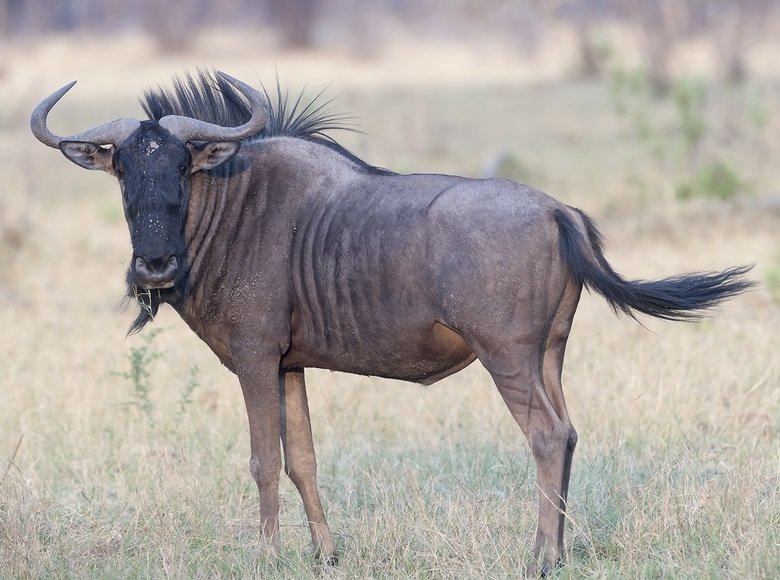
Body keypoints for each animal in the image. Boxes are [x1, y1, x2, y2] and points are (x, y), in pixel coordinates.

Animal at [31, 71, 753, 575]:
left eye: (182, 164)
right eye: (122, 167)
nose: (153, 266)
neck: (232, 206)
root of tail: (557, 210)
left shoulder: (255, 358)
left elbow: (263, 460)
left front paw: (265, 557)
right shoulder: (289, 364)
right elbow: (303, 460)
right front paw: (325, 555)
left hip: (509, 358)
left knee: (547, 437)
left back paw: (540, 560)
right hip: (549, 355)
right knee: (570, 433)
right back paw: (559, 551)